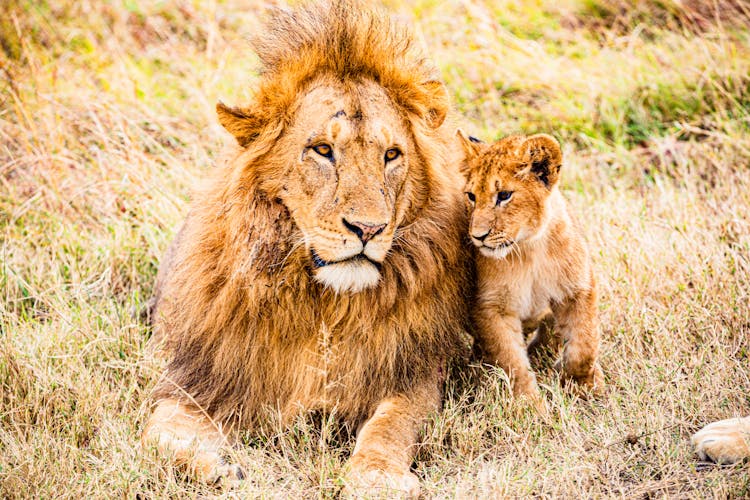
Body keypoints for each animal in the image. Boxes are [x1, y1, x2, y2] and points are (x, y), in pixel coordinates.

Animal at [141, 0, 470, 494]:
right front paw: (219, 468)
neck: (324, 306)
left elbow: (389, 425)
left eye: (392, 155)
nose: (368, 229)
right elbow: (156, 437)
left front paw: (375, 478)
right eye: (322, 150)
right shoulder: (199, 377)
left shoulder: (413, 372)